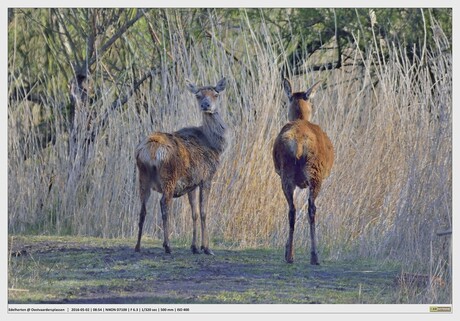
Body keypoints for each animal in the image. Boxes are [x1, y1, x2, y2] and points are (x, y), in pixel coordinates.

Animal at [135, 77, 228, 255]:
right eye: (198, 95)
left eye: (215, 94)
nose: (206, 105)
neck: (215, 145)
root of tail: (150, 151)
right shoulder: (207, 176)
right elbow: (204, 212)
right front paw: (206, 248)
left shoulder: (192, 183)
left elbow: (194, 213)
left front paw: (194, 247)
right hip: (168, 176)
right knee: (164, 204)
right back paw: (167, 246)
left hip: (143, 177)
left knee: (142, 209)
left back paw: (137, 246)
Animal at [274, 78, 334, 264]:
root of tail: (299, 144)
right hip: (315, 172)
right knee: (311, 208)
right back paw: (314, 256)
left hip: (286, 172)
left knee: (291, 210)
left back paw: (289, 255)